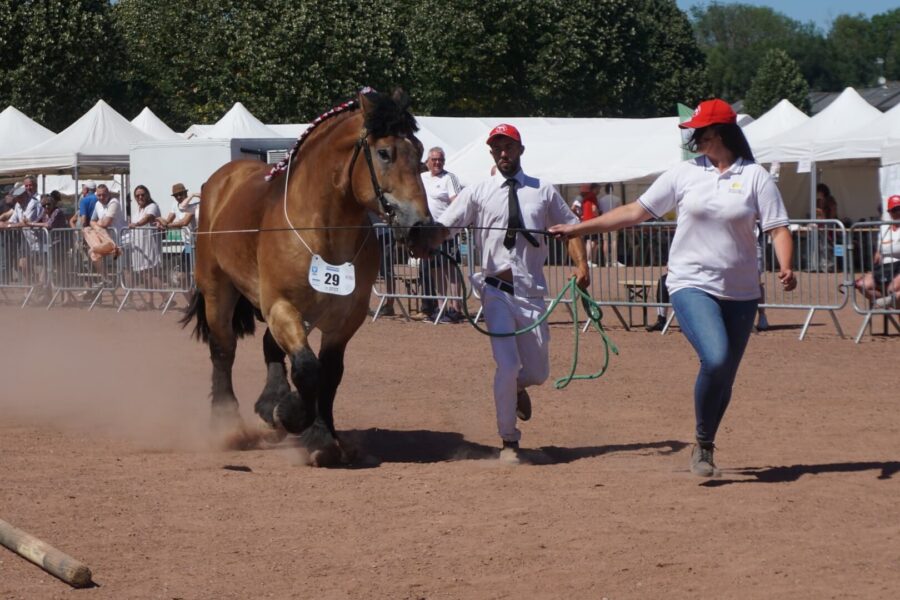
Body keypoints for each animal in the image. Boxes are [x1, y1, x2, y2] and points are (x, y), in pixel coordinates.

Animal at [181, 89, 430, 464]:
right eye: (385, 152)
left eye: (420, 152)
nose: (420, 226)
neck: (323, 230)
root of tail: (221, 179)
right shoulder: (282, 306)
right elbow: (308, 370)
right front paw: (296, 418)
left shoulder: (345, 318)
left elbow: (329, 374)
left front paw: (322, 435)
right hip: (218, 291)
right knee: (223, 350)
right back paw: (230, 425)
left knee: (269, 345)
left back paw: (269, 403)